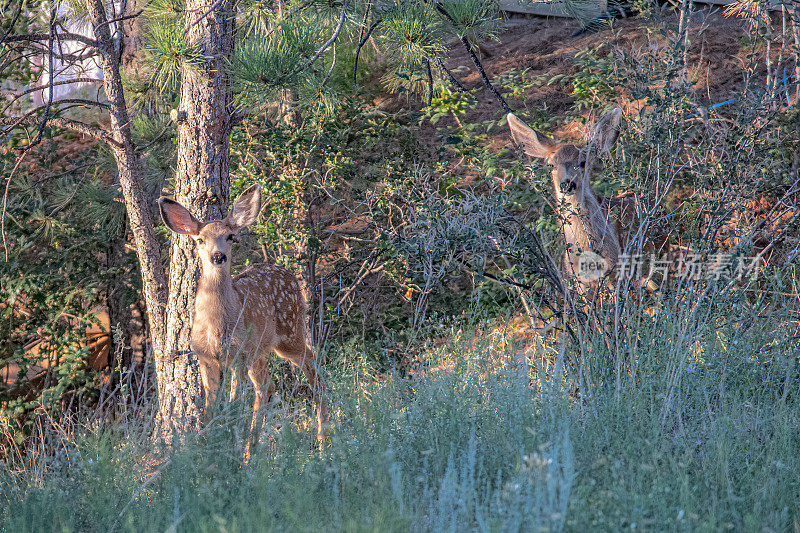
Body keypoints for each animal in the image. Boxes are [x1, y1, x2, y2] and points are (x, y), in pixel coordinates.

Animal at [159, 185, 328, 456]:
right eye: (200, 240)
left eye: (230, 237)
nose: (218, 256)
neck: (217, 327)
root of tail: (290, 276)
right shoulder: (206, 356)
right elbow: (211, 406)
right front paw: (210, 444)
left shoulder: (239, 352)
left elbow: (234, 402)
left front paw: (229, 446)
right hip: (261, 350)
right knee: (267, 386)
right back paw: (253, 447)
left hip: (288, 332)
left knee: (310, 369)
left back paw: (321, 441)